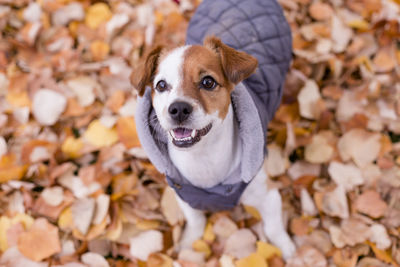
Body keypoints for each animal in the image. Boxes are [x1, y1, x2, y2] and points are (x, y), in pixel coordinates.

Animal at [133, 35, 296, 260]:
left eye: (208, 82)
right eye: (161, 85)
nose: (178, 108)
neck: (203, 158)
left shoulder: (269, 195)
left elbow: (274, 228)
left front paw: (288, 250)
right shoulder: (185, 196)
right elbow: (196, 220)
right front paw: (188, 242)